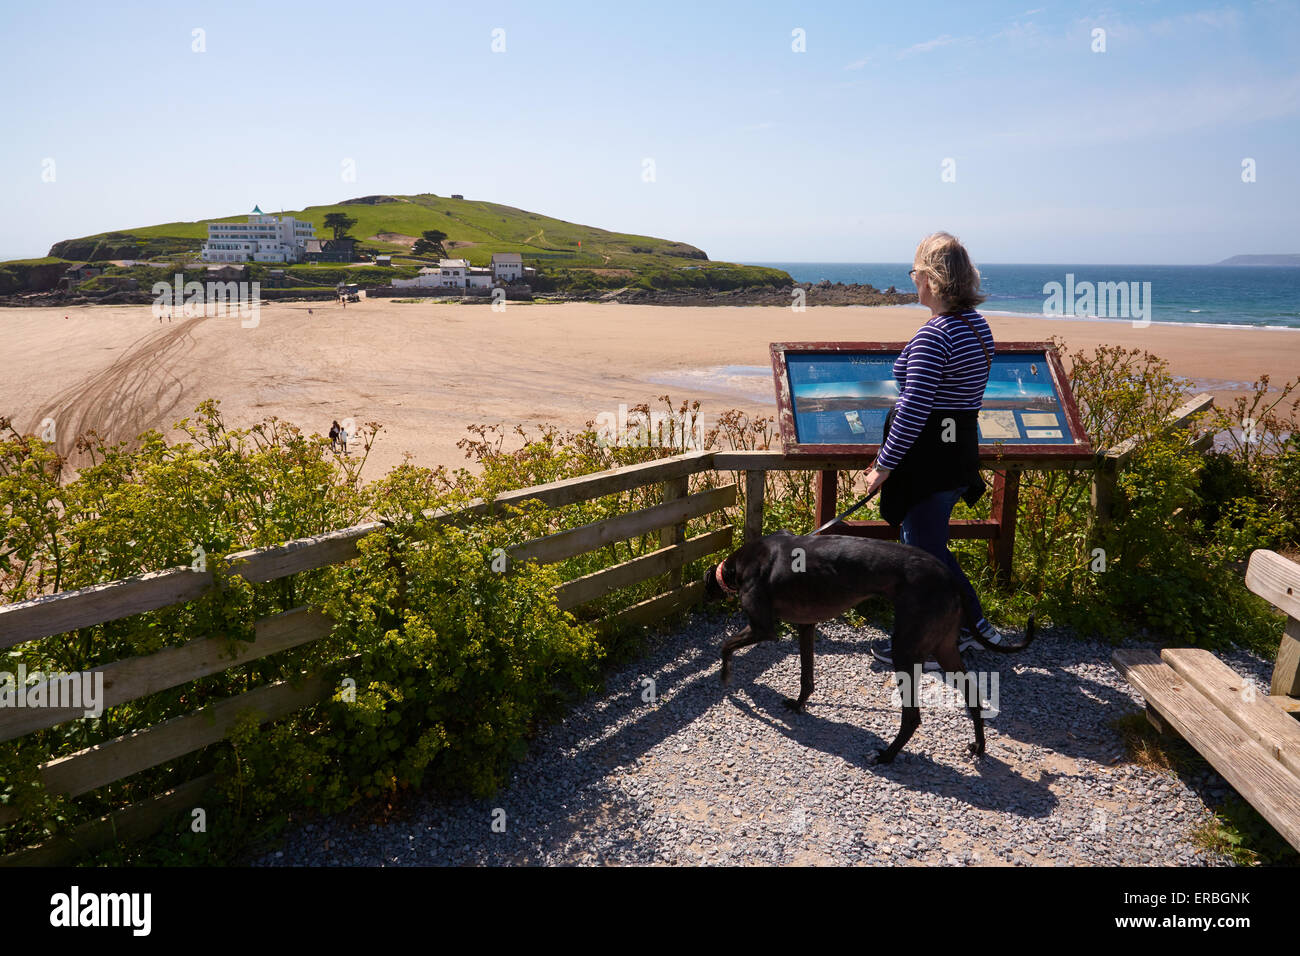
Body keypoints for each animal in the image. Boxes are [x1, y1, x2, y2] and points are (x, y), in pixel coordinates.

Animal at [702, 530, 1034, 764]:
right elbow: (806, 677)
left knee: (912, 716)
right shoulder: (806, 626)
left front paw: (726, 677)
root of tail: (951, 577)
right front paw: (797, 704)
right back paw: (979, 746)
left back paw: (886, 756)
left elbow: (725, 646)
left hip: (905, 650)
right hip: (944, 648)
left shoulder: (763, 628)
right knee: (973, 697)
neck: (742, 562)